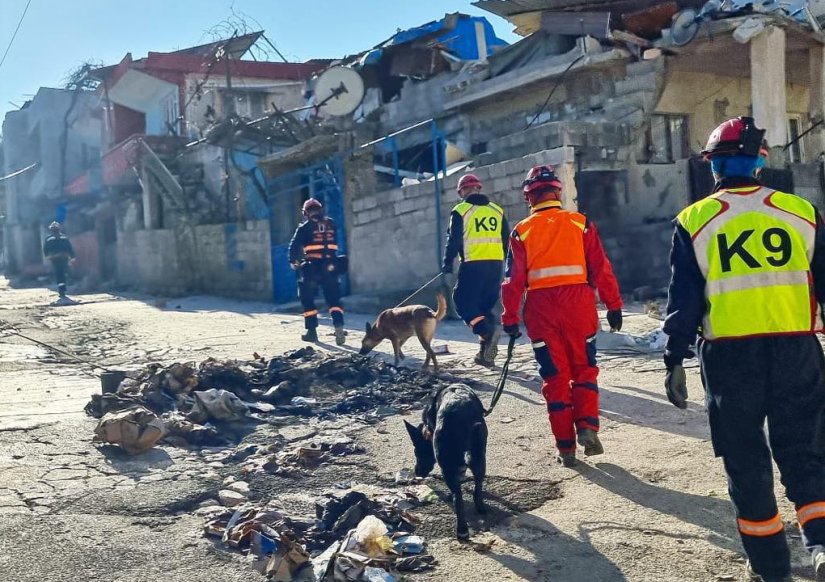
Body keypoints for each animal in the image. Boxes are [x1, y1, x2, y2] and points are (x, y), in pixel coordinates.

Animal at [402, 386, 486, 540]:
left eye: (416, 451)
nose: (417, 472)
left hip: (446, 468)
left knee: (457, 498)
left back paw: (462, 530)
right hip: (479, 458)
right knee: (478, 487)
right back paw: (481, 507)